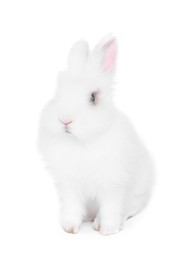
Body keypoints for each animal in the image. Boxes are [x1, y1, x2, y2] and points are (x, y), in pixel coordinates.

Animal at [38, 35, 154, 236]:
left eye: (93, 97)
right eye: (58, 93)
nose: (65, 120)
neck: (82, 142)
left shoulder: (112, 185)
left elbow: (110, 208)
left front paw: (108, 230)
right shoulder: (70, 186)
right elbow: (72, 207)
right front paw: (69, 228)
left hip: (136, 195)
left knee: (128, 209)